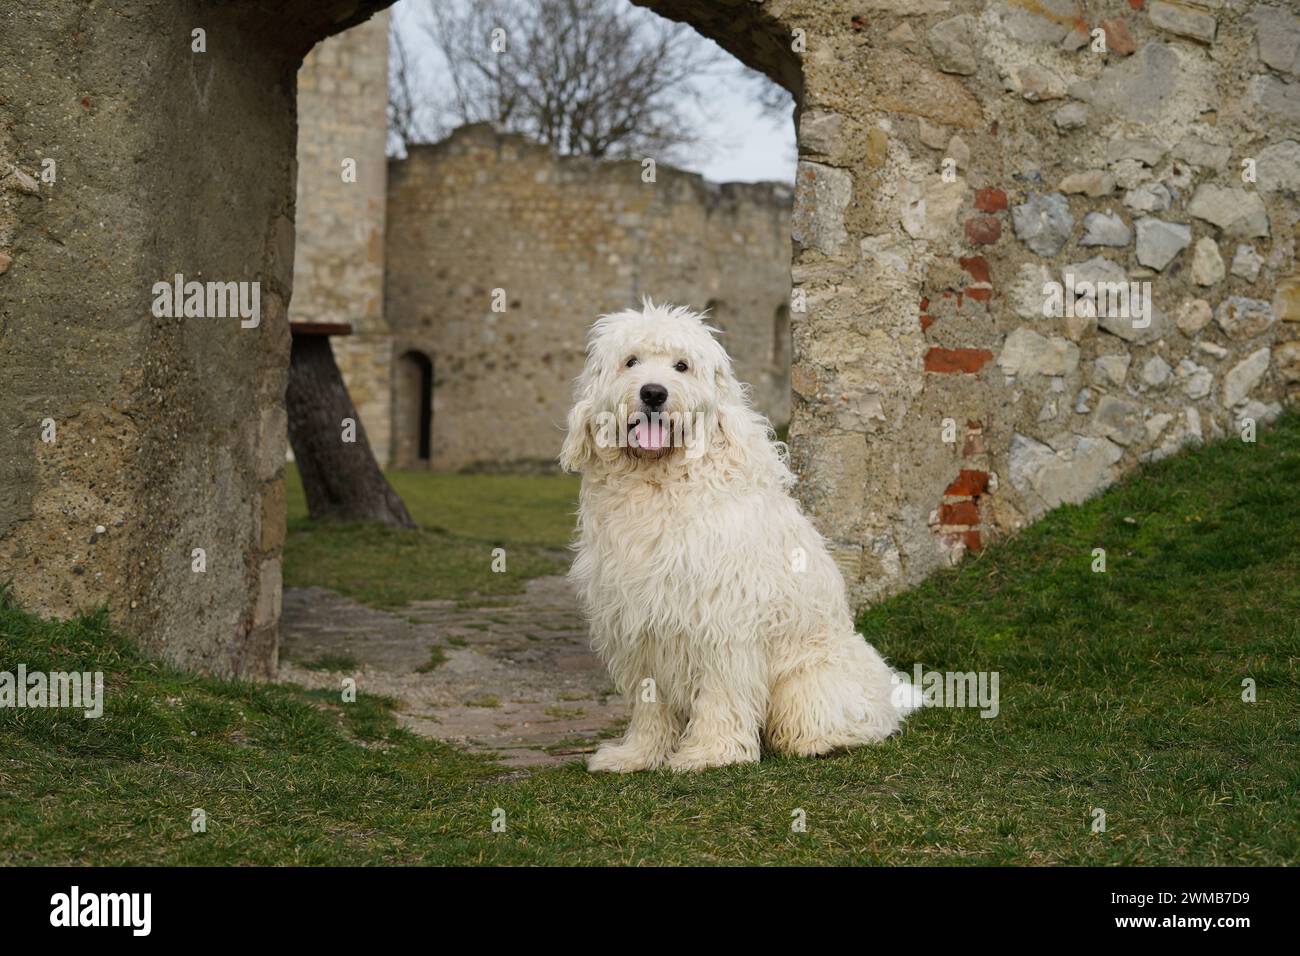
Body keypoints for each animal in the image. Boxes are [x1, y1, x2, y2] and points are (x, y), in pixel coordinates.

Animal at [559, 303, 915, 775]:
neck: (660, 483)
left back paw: (818, 741)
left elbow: (721, 691)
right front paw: (637, 754)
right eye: (631, 361)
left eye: (682, 365)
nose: (653, 393)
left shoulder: (721, 618)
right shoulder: (637, 623)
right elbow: (650, 701)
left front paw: (711, 753)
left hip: (812, 678)